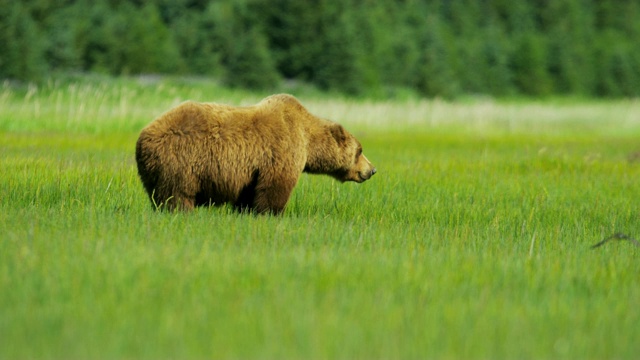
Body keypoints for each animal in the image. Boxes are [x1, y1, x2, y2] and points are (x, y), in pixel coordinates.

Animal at [135, 94, 376, 215]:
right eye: (360, 150)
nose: (372, 169)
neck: (307, 138)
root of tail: (142, 137)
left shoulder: (250, 172)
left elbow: (248, 193)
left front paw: (244, 211)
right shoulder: (281, 150)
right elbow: (275, 187)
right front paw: (271, 213)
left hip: (154, 170)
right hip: (180, 161)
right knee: (177, 195)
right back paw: (182, 212)